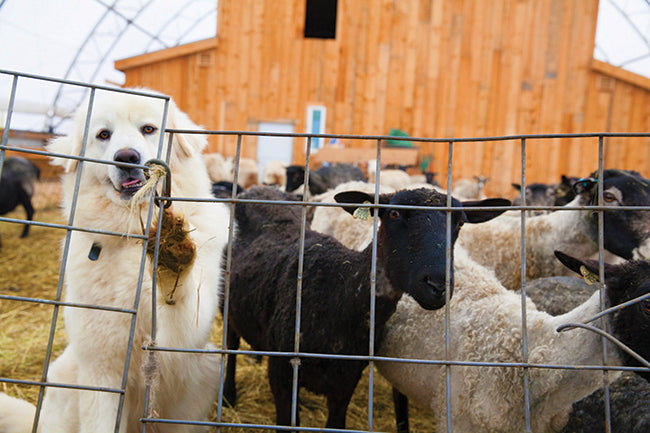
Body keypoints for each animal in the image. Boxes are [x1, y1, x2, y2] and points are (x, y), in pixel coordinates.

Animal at [1, 89, 229, 430]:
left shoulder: (183, 338)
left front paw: (171, 256)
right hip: (65, 376)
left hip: (206, 370)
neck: (133, 235)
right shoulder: (101, 371)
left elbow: (180, 304)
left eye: (148, 129)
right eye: (103, 135)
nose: (127, 157)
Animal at [223, 184, 512, 426]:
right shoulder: (281, 374)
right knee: (230, 347)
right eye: (394, 213)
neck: (338, 291)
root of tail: (259, 189)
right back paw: (228, 396)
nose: (437, 285)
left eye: (460, 222)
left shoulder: (345, 383)